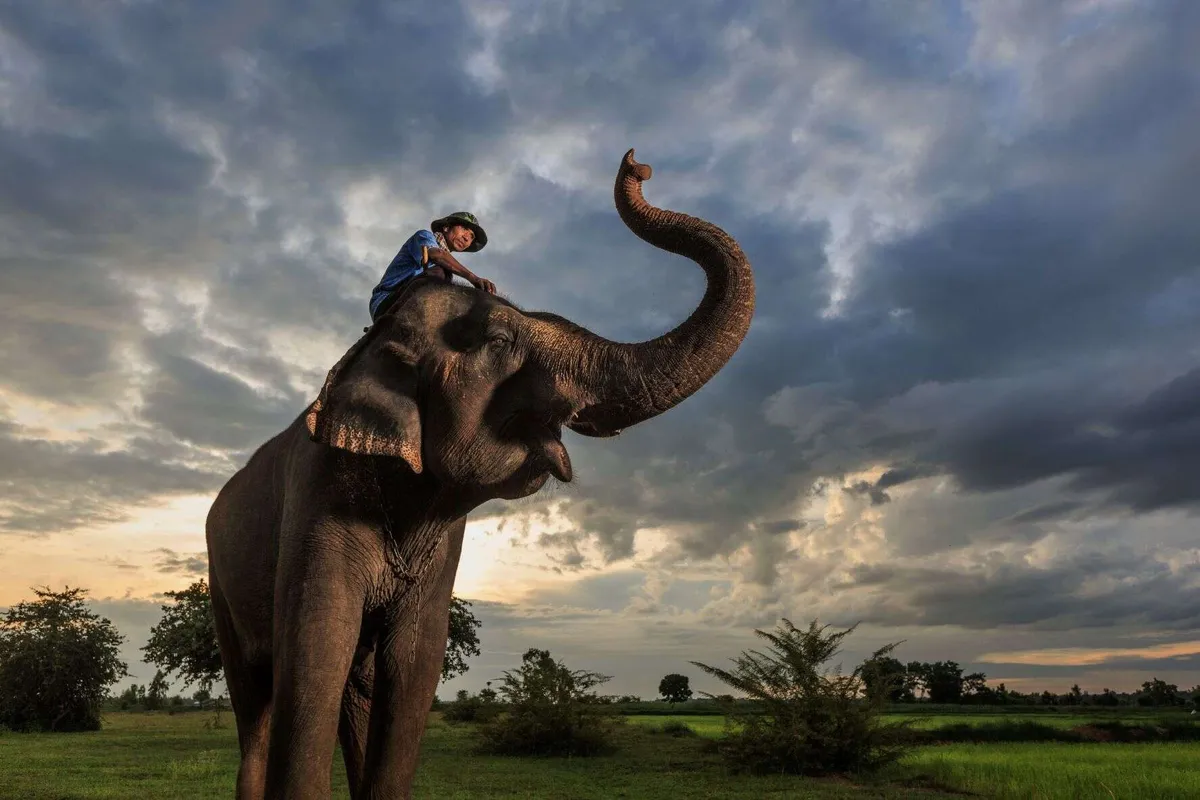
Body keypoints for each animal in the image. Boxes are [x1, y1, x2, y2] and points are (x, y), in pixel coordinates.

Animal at [204, 148, 755, 800]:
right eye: (498, 340)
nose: (638, 163)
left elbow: (414, 662)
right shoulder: (317, 493)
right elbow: (317, 650)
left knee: (355, 692)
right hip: (219, 580)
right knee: (257, 702)